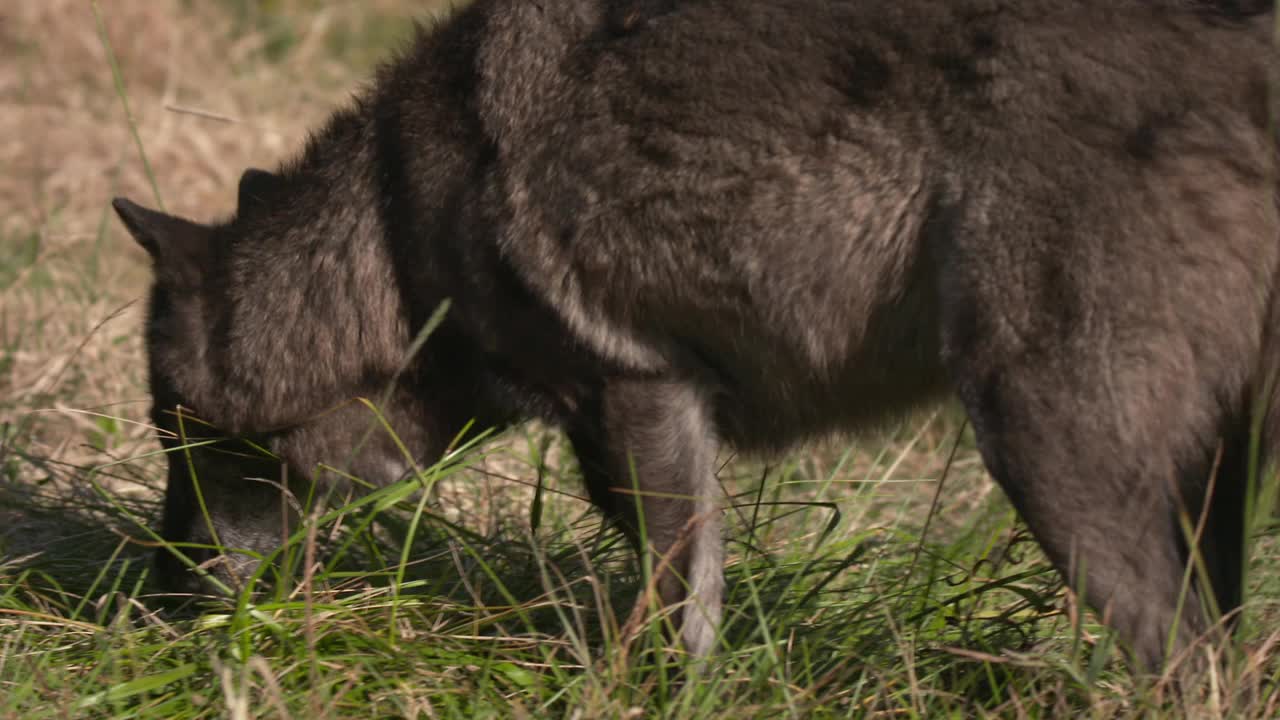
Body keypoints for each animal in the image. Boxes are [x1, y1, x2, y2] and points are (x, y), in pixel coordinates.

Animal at [115, 0, 1274, 671]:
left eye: (174, 435)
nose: (156, 604)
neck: (395, 230)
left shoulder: (641, 403)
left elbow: (678, 611)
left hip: (1050, 456)